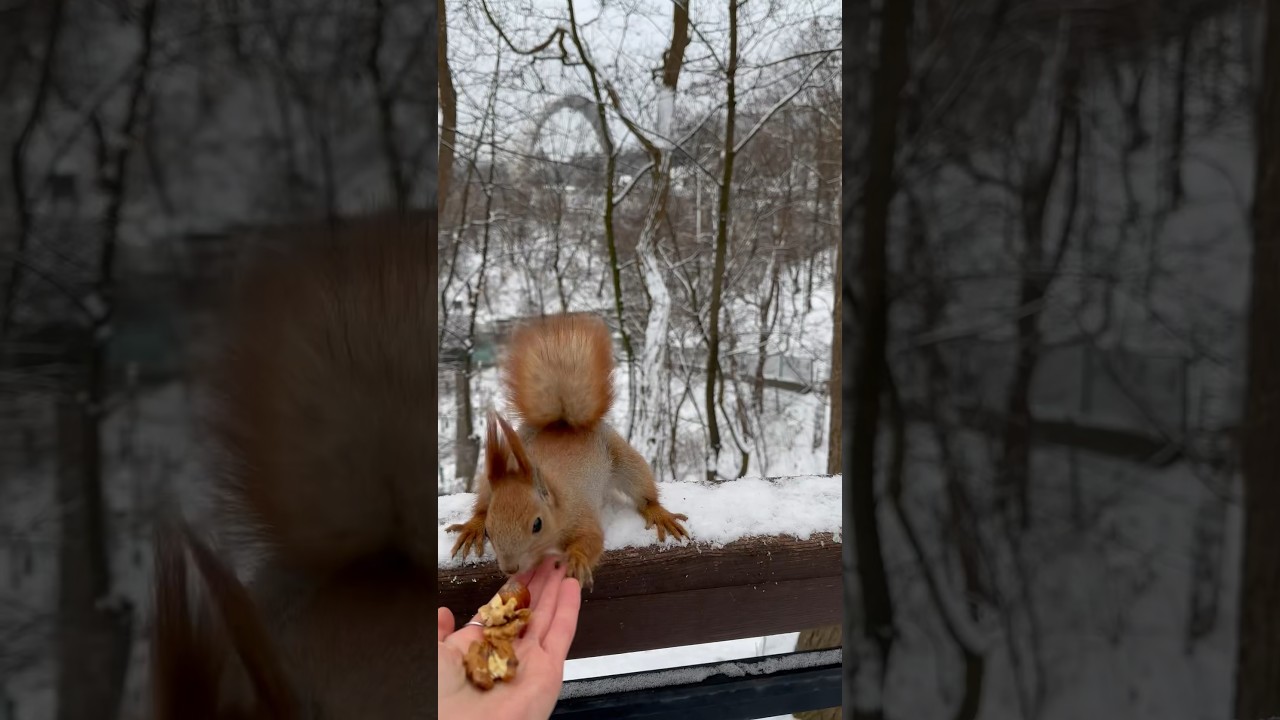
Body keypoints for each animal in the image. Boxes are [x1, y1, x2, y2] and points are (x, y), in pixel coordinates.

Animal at [447, 312, 690, 590]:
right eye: (492, 528)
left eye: (537, 524)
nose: (510, 568)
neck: (556, 499)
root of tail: (562, 424)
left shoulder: (581, 514)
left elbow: (592, 539)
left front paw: (578, 560)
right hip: (493, 477)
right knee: (481, 504)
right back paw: (472, 526)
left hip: (625, 461)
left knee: (643, 492)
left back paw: (658, 513)